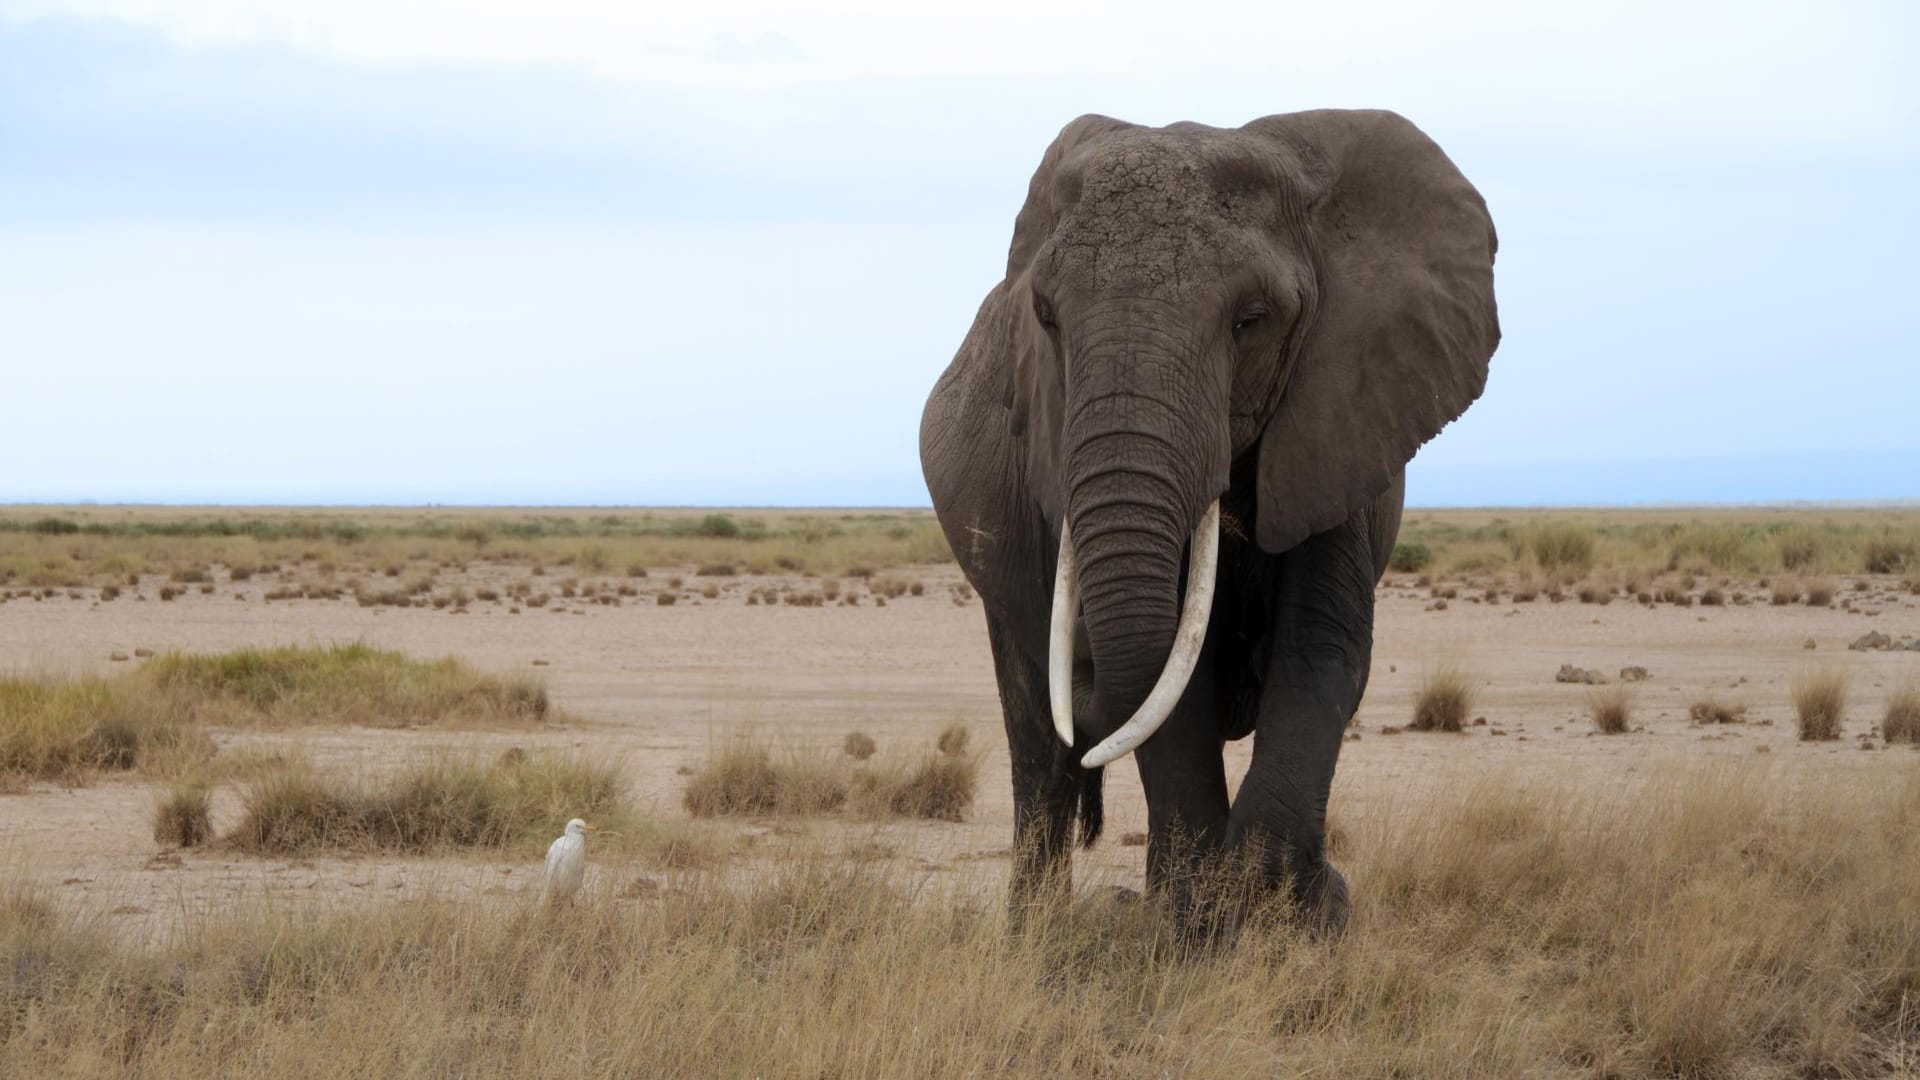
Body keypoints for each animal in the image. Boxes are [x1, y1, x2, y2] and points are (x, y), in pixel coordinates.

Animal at [913, 111, 1497, 933]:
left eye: (1251, 321)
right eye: (1046, 318)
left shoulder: (1341, 412)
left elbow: (1321, 649)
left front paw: (1293, 913)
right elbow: (1168, 679)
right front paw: (1199, 923)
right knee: (1038, 746)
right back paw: (1041, 935)